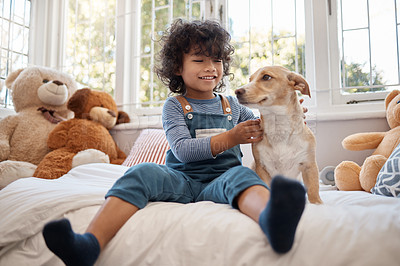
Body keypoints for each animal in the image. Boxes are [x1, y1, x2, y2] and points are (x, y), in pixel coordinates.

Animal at [236, 66, 324, 204]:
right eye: (250, 79)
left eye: (266, 77)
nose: (237, 91)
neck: (278, 128)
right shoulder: (262, 167)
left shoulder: (309, 166)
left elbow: (313, 191)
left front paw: (317, 203)